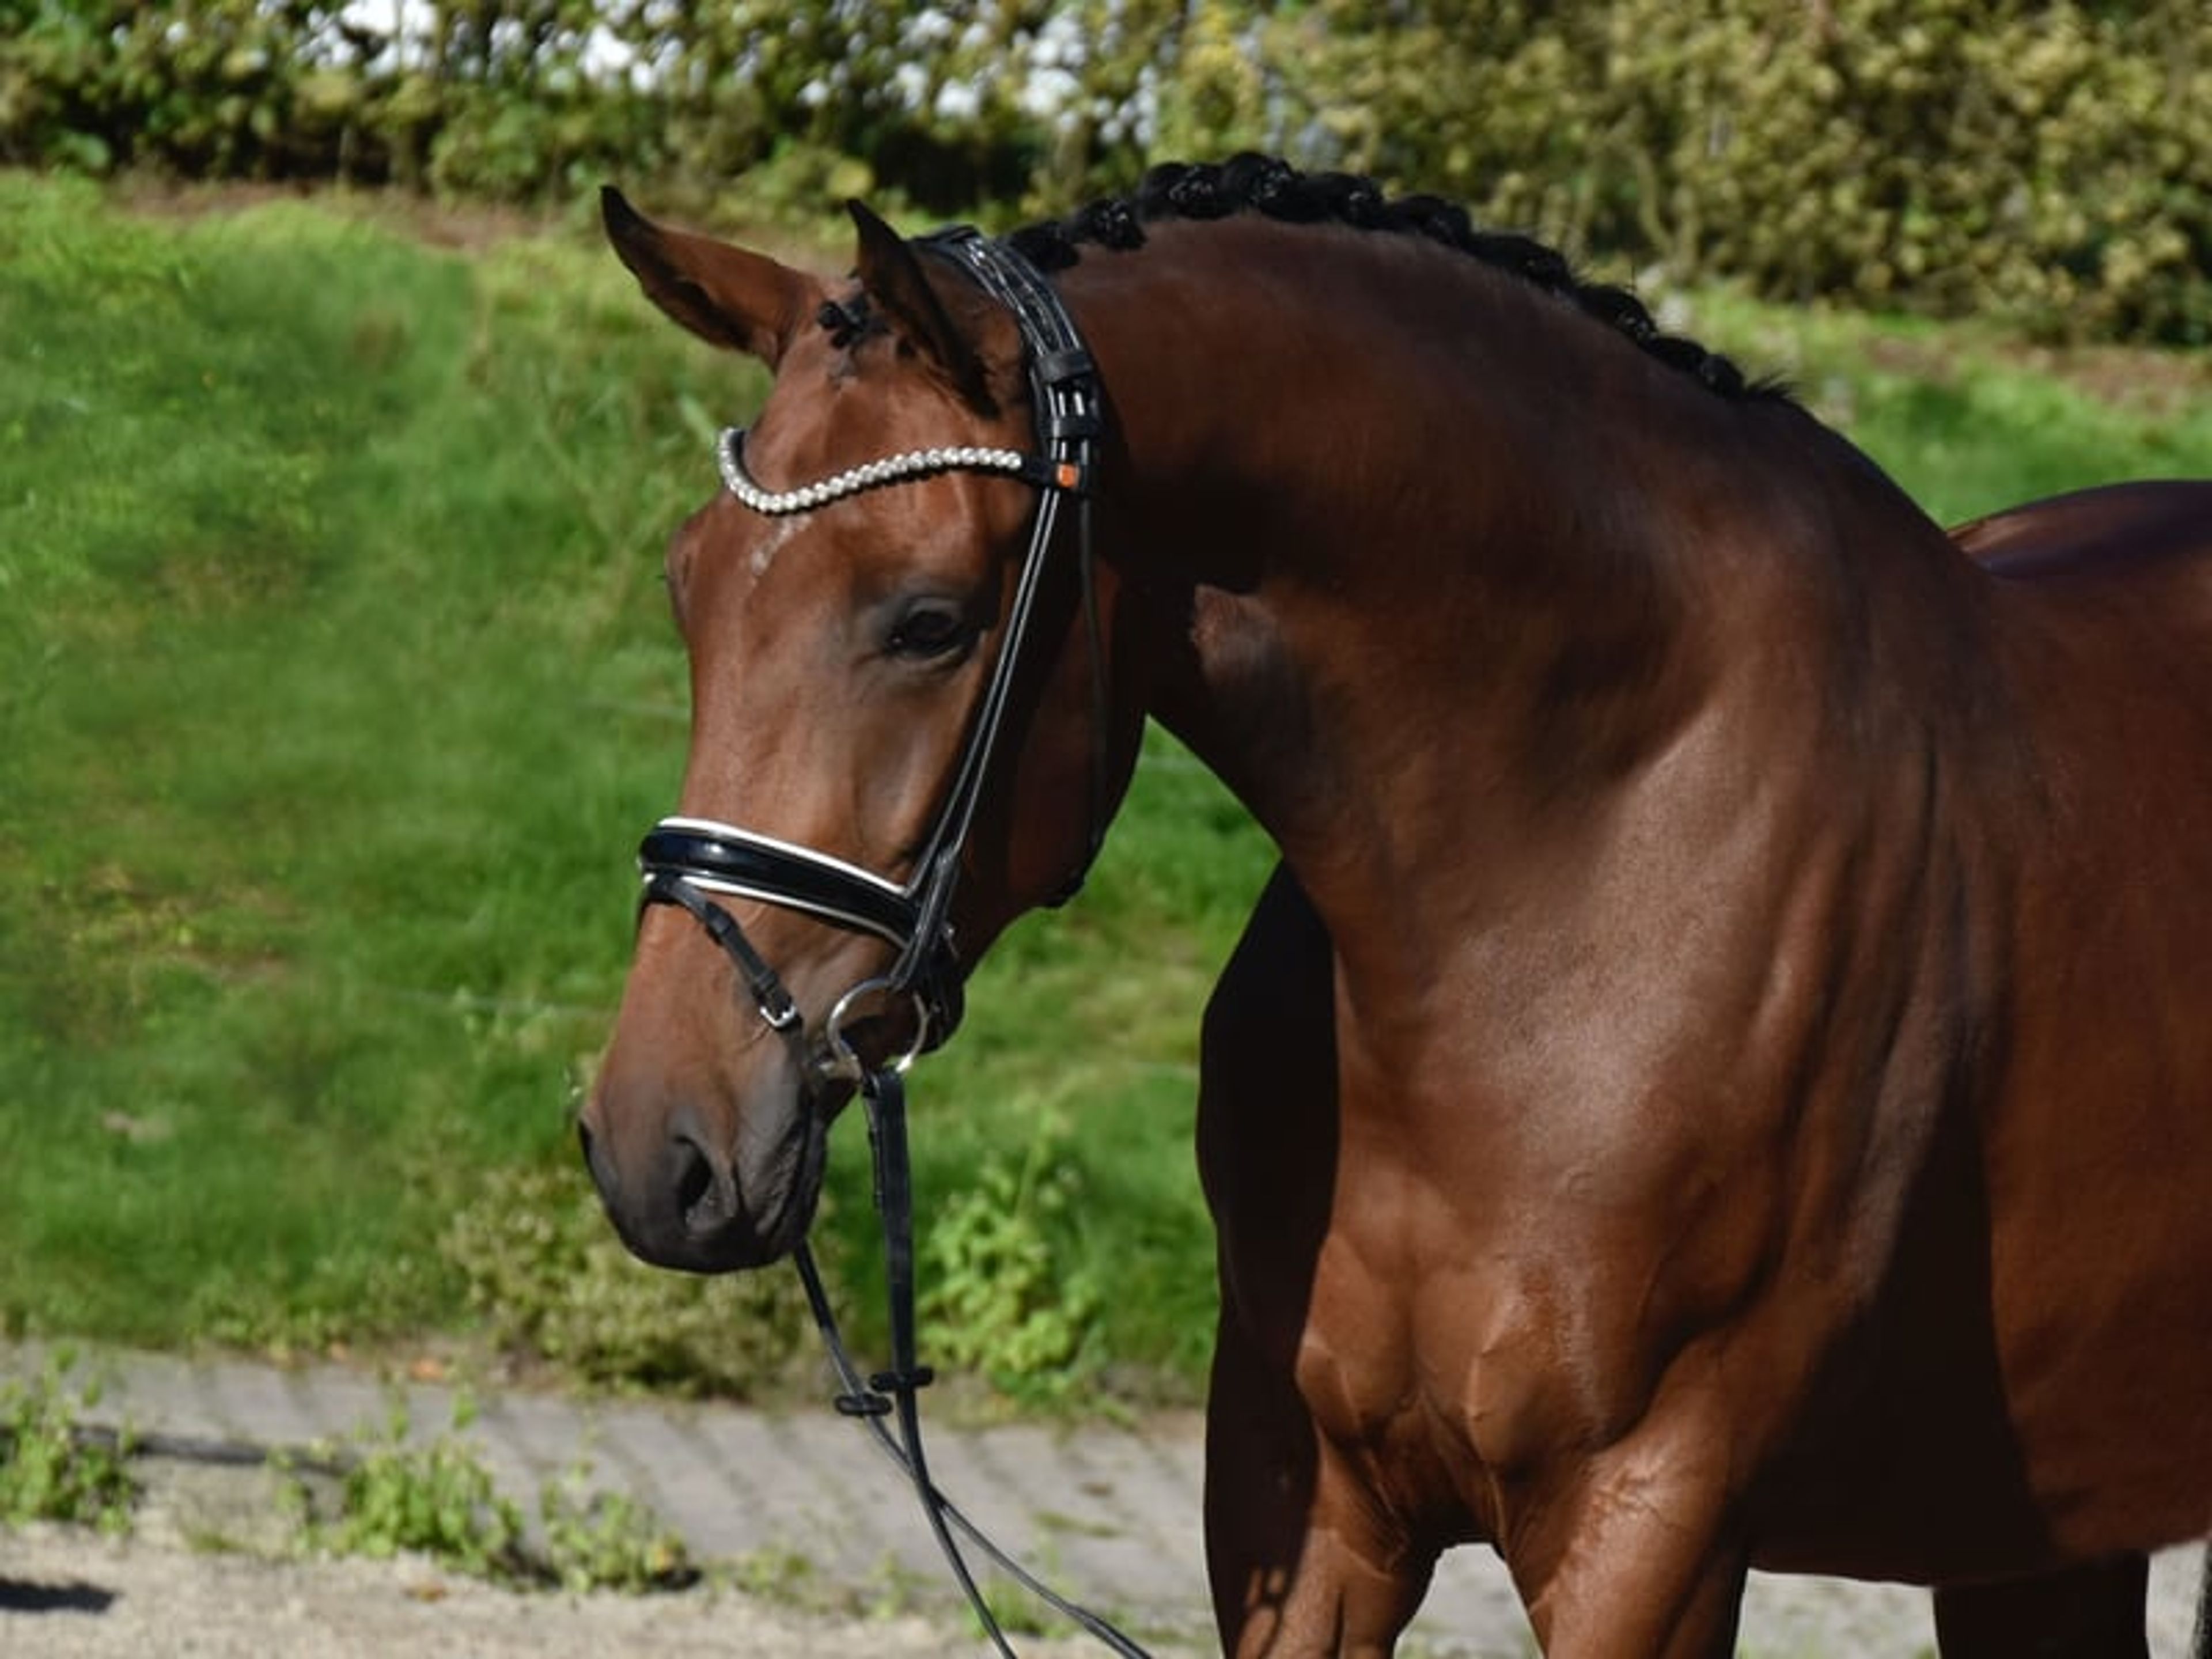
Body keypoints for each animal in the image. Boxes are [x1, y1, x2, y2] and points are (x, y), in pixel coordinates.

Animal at [577, 155, 2212, 1656]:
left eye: (927, 621)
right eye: (685, 586)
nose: (659, 1147)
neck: (1569, 881)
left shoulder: (1649, 1528)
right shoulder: (1302, 1493)